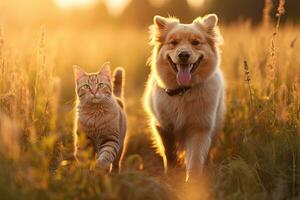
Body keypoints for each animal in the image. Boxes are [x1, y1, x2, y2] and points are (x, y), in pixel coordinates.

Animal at [144, 13, 225, 180]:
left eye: (195, 43)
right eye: (173, 43)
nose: (183, 55)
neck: (183, 91)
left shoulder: (199, 127)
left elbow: (195, 159)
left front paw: (193, 182)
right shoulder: (163, 126)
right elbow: (169, 153)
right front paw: (171, 175)